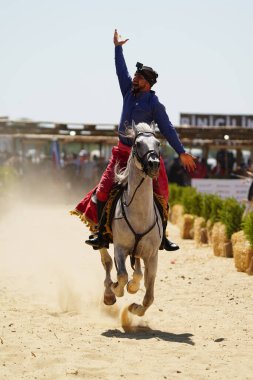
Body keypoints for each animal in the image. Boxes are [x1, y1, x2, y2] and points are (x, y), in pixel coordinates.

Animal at [99, 122, 162, 318]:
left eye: (158, 143)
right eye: (138, 144)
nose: (153, 163)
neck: (139, 215)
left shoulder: (152, 255)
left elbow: (149, 295)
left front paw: (135, 306)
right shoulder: (120, 248)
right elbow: (121, 275)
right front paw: (116, 289)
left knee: (138, 270)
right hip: (102, 241)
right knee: (107, 263)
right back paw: (109, 293)